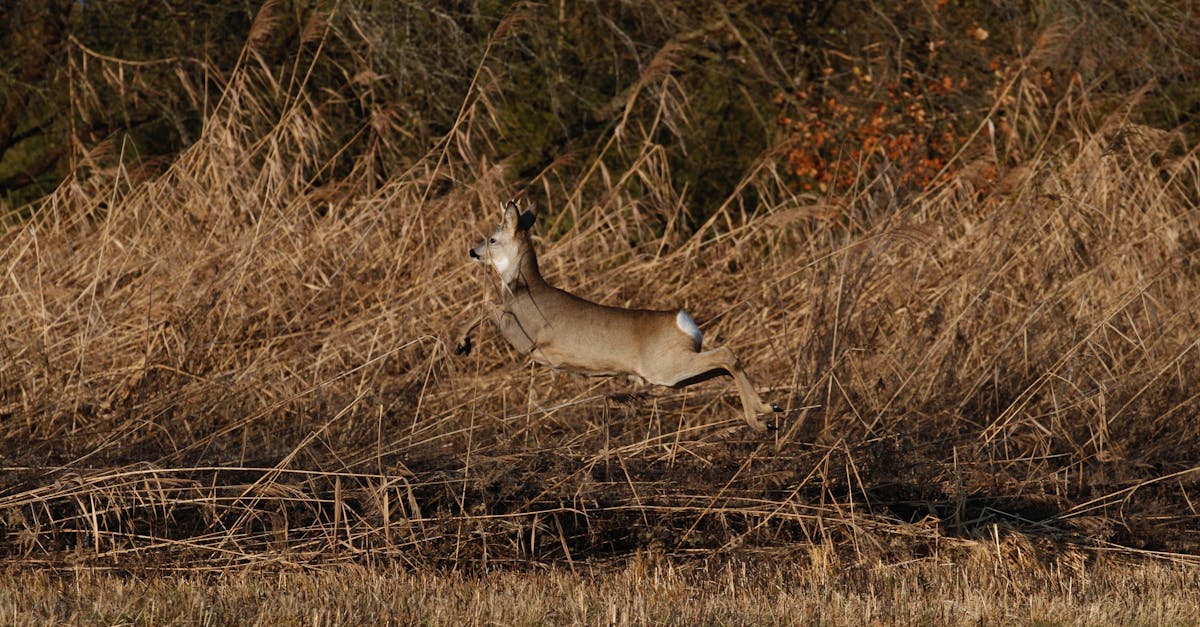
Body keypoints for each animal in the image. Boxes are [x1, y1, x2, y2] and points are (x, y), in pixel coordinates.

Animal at [453, 200, 782, 430]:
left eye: (492, 239)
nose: (472, 251)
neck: (521, 287)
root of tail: (683, 321)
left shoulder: (525, 337)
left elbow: (488, 305)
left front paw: (461, 343)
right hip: (676, 371)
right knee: (726, 364)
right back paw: (765, 414)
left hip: (666, 366)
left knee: (727, 354)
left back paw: (760, 418)